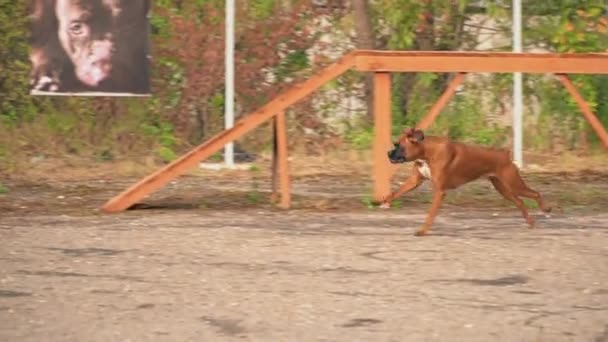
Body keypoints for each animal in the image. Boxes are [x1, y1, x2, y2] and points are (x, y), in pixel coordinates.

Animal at [382, 127, 552, 236]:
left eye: (398, 145)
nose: (388, 153)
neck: (427, 151)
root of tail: (504, 153)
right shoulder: (414, 181)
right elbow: (396, 192)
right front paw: (384, 201)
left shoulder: (439, 191)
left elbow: (430, 214)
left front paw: (422, 230)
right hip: (503, 189)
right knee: (520, 202)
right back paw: (530, 222)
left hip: (514, 185)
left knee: (535, 193)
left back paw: (546, 210)